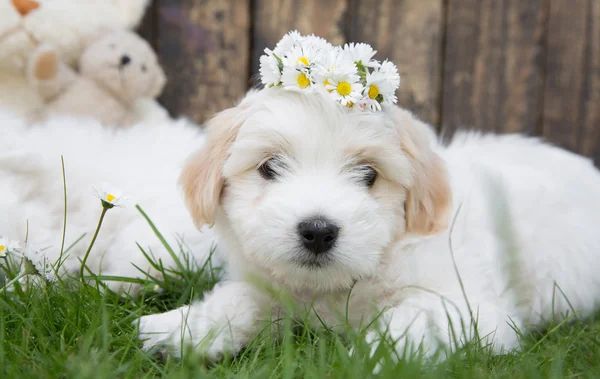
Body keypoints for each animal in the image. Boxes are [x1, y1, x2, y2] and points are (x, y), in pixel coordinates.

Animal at [135, 87, 600, 360]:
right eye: (269, 167)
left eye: (369, 174)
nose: (318, 231)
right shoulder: (271, 286)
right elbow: (240, 299)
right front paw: (177, 328)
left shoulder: (470, 307)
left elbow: (415, 320)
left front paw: (372, 352)